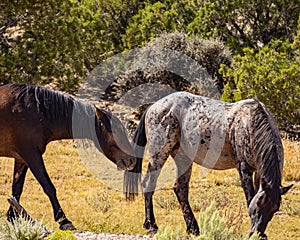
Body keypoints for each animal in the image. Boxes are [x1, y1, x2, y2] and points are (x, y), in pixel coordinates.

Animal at [0, 83, 136, 231]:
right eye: (116, 131)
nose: (132, 160)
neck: (36, 111)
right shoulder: (32, 155)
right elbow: (49, 187)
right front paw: (64, 221)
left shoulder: (21, 159)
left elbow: (17, 189)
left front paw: (11, 218)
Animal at [123, 91, 290, 238]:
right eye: (256, 207)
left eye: (274, 209)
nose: (257, 234)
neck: (249, 123)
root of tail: (154, 106)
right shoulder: (244, 168)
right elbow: (250, 196)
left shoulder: (258, 172)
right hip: (159, 153)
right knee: (149, 184)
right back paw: (151, 225)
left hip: (183, 157)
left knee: (180, 189)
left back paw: (193, 228)